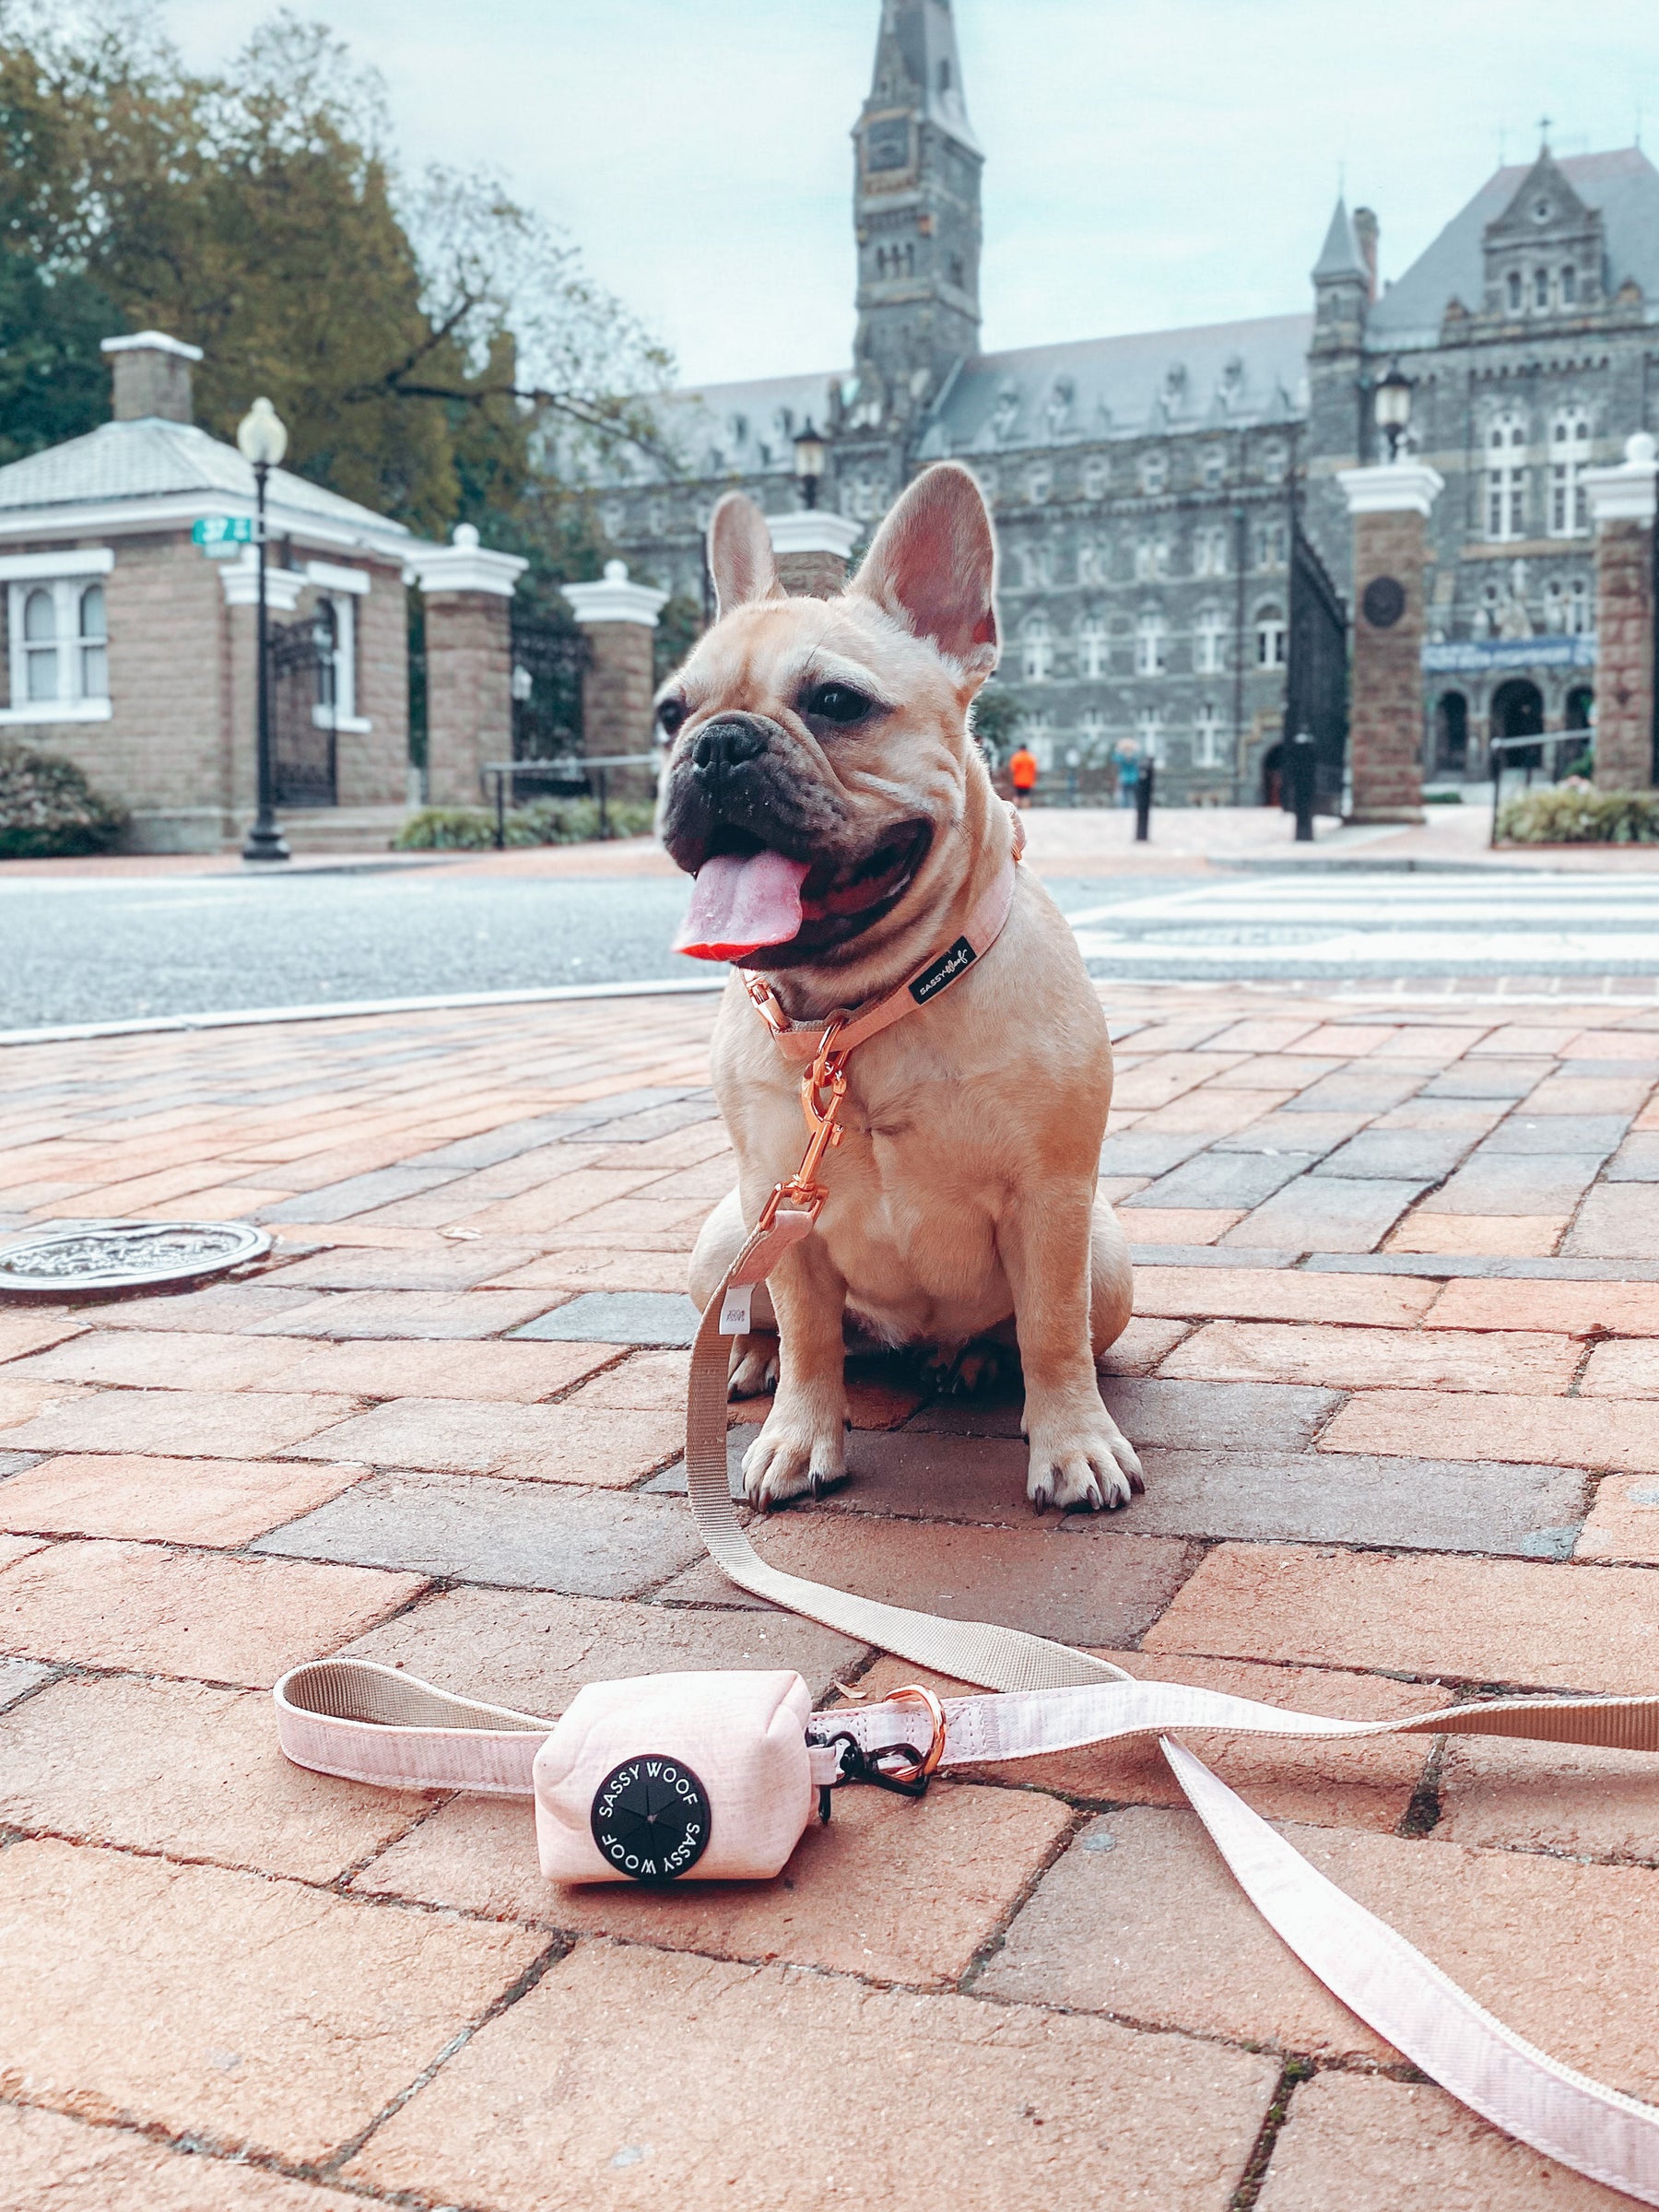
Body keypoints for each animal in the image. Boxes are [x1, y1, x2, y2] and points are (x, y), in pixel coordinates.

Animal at [659, 457, 1141, 1512]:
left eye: (838, 703)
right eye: (671, 713)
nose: (717, 744)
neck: (865, 1004)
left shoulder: (1053, 1204)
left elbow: (1052, 1331)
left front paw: (1074, 1444)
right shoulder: (778, 1204)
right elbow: (808, 1333)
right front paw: (800, 1436)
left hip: (1109, 1260)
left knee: (1026, 1330)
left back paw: (974, 1361)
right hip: (722, 1239)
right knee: (775, 1323)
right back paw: (751, 1362)